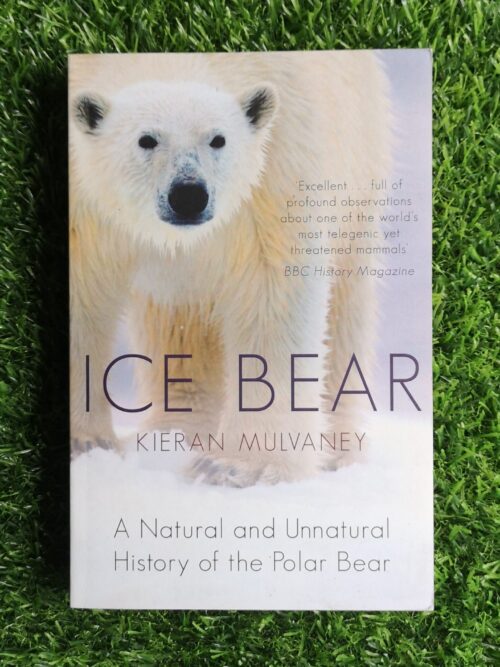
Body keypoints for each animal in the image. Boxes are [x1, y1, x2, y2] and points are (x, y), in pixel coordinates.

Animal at [69, 52, 391, 486]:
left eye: (217, 139)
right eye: (146, 139)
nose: (188, 195)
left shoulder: (281, 158)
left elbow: (270, 291)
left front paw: (239, 466)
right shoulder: (81, 200)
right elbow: (80, 296)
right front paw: (85, 443)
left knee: (344, 310)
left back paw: (337, 452)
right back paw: (174, 434)